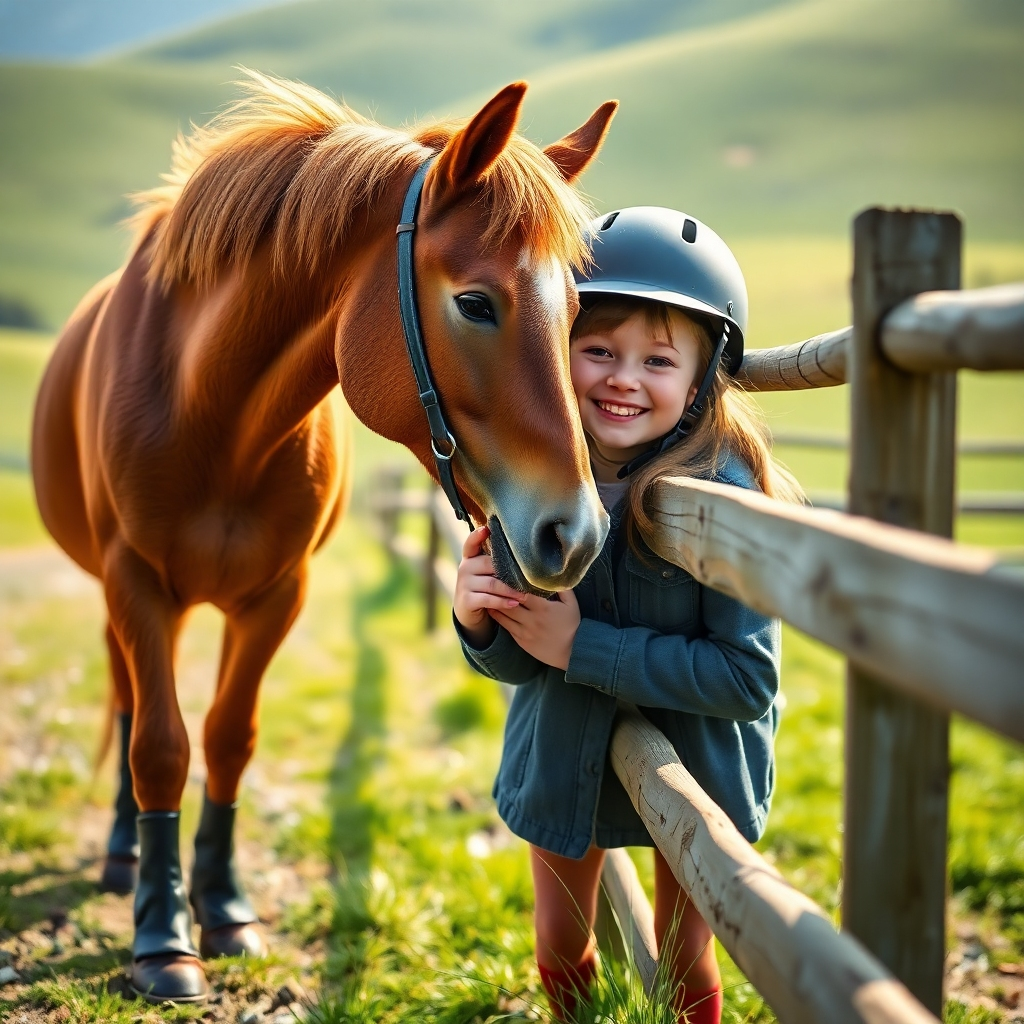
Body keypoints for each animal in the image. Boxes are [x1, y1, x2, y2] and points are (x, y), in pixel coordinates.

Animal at [31, 71, 615, 1003]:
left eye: (576, 314)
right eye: (475, 303)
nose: (579, 533)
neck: (214, 415)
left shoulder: (279, 595)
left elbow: (229, 739)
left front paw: (224, 908)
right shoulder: (135, 584)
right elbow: (159, 745)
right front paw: (162, 938)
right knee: (126, 701)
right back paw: (125, 856)